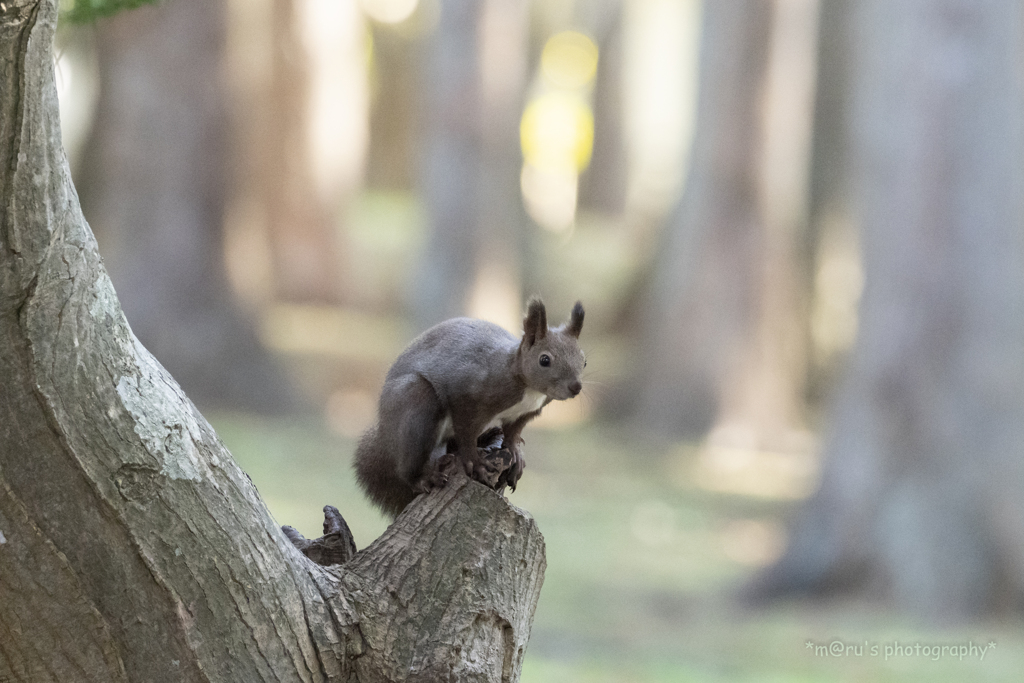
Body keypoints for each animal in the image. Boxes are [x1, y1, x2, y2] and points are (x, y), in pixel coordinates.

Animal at [356, 299, 589, 518]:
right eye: (544, 360)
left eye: (584, 360)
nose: (575, 387)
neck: (527, 387)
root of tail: (385, 432)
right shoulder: (465, 395)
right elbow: (466, 433)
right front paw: (476, 464)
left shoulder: (526, 412)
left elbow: (513, 433)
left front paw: (515, 453)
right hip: (416, 404)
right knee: (409, 465)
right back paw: (425, 478)